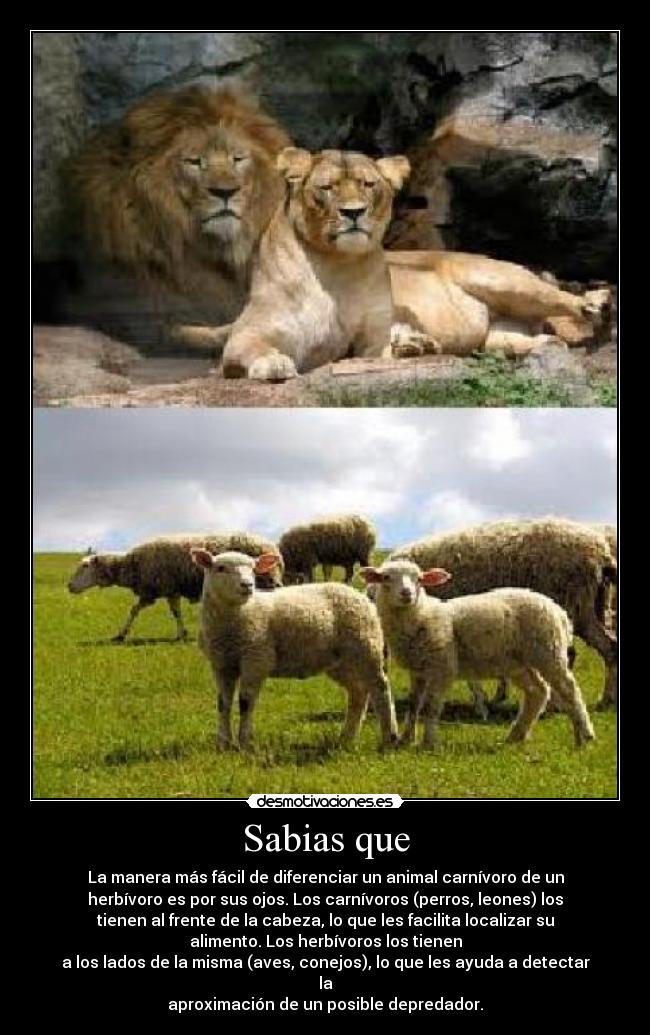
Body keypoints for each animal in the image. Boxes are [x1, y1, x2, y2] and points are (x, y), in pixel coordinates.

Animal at [221, 147, 411, 381]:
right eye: (327, 187)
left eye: (367, 184)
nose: (353, 212)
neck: (338, 263)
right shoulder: (246, 332)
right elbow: (253, 346)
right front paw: (273, 362)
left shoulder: (375, 336)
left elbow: (383, 351)